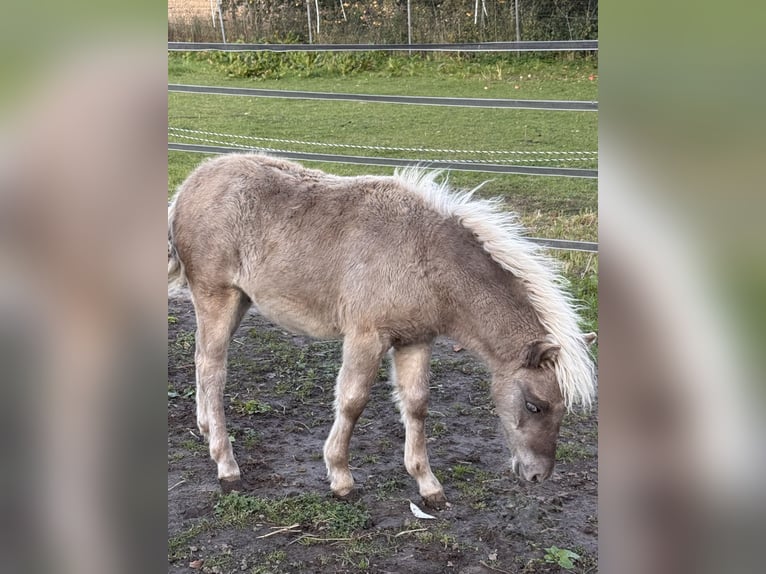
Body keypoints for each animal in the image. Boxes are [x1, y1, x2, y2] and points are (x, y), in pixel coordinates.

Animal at [168, 153, 596, 507]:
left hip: (238, 302)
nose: (538, 475)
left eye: (564, 408)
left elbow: (416, 404)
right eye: (534, 405)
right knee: (214, 370)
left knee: (201, 361)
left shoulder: (415, 340)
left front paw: (428, 485)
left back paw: (205, 430)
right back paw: (226, 466)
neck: (425, 257)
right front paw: (341, 478)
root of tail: (189, 185)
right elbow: (353, 401)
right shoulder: (366, 336)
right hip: (216, 298)